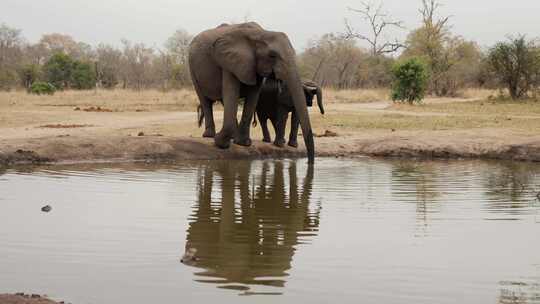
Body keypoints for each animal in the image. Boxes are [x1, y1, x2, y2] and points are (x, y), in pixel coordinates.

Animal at [189, 22, 316, 164]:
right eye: (272, 56)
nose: (310, 162)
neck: (262, 33)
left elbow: (253, 97)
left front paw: (243, 143)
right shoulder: (230, 61)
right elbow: (231, 93)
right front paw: (220, 143)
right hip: (192, 67)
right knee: (205, 100)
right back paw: (209, 135)